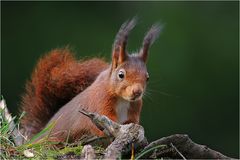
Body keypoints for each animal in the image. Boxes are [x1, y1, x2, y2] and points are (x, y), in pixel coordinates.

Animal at [19, 18, 160, 142]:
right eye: (121, 75)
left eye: (147, 77)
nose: (137, 92)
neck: (123, 100)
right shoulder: (100, 101)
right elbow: (106, 120)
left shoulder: (134, 109)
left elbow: (133, 123)